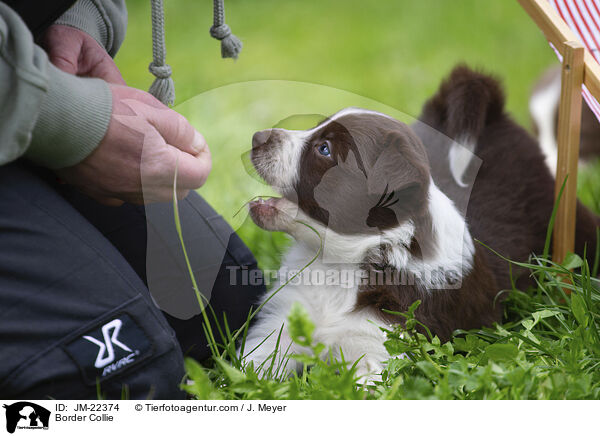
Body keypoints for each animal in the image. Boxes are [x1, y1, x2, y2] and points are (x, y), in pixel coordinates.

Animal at [240, 65, 600, 382]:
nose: (256, 137)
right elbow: (250, 367)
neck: (339, 261)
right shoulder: (281, 323)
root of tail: (495, 117)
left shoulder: (383, 346)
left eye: (324, 149)